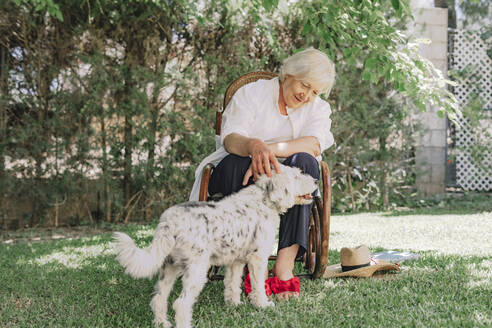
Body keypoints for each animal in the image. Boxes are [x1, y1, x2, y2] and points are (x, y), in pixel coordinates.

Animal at [114, 164, 318, 328]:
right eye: (297, 175)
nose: (316, 180)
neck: (264, 199)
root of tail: (168, 222)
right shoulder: (258, 259)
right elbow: (258, 285)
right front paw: (263, 305)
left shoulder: (236, 261)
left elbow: (232, 284)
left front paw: (234, 304)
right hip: (196, 271)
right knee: (180, 304)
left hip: (169, 268)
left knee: (158, 299)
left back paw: (162, 323)